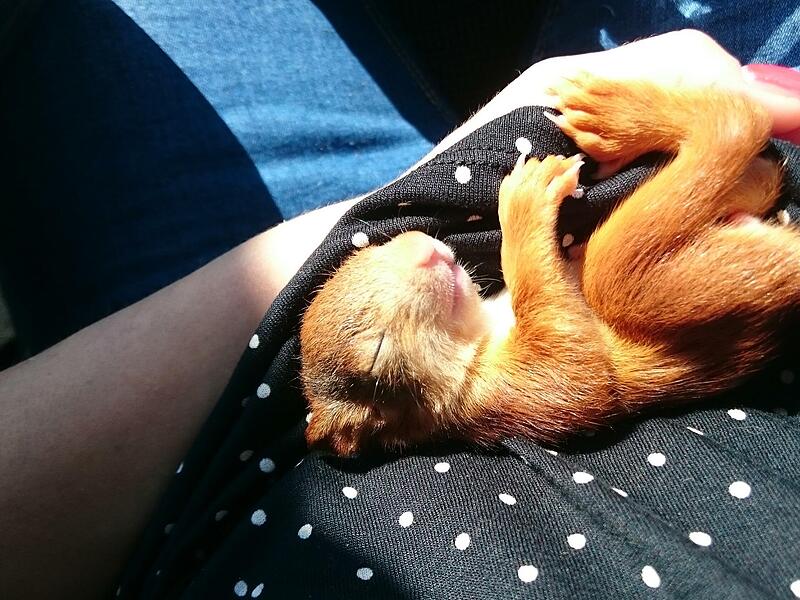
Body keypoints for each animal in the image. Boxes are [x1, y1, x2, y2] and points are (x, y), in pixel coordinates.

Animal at [299, 73, 799, 456]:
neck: (486, 324)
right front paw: (525, 199)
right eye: (377, 351)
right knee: (733, 126)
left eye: (371, 249)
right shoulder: (507, 397)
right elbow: (576, 371)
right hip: (643, 278)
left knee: (759, 176)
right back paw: (621, 115)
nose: (427, 250)